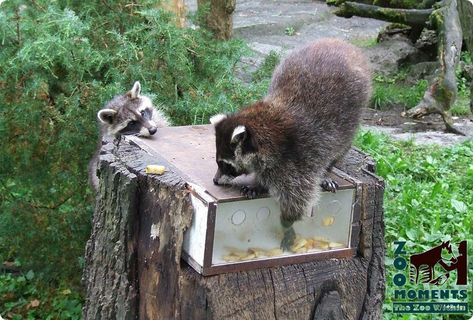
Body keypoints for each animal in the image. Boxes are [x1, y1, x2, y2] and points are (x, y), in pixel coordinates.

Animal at [209, 39, 368, 250]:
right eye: (218, 162)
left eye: (225, 164)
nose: (215, 180)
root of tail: (341, 43)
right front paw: (258, 183)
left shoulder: (302, 154)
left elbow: (298, 196)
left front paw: (287, 222)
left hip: (352, 115)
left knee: (339, 147)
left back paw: (328, 171)